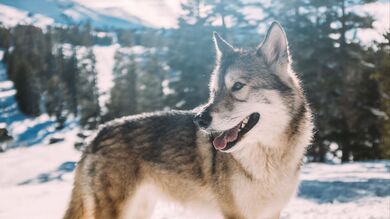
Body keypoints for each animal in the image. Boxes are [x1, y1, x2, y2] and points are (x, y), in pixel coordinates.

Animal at [64, 21, 314, 219]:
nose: (199, 119)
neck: (269, 158)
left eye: (237, 86)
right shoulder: (235, 213)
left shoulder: (271, 212)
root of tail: (97, 135)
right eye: (214, 91)